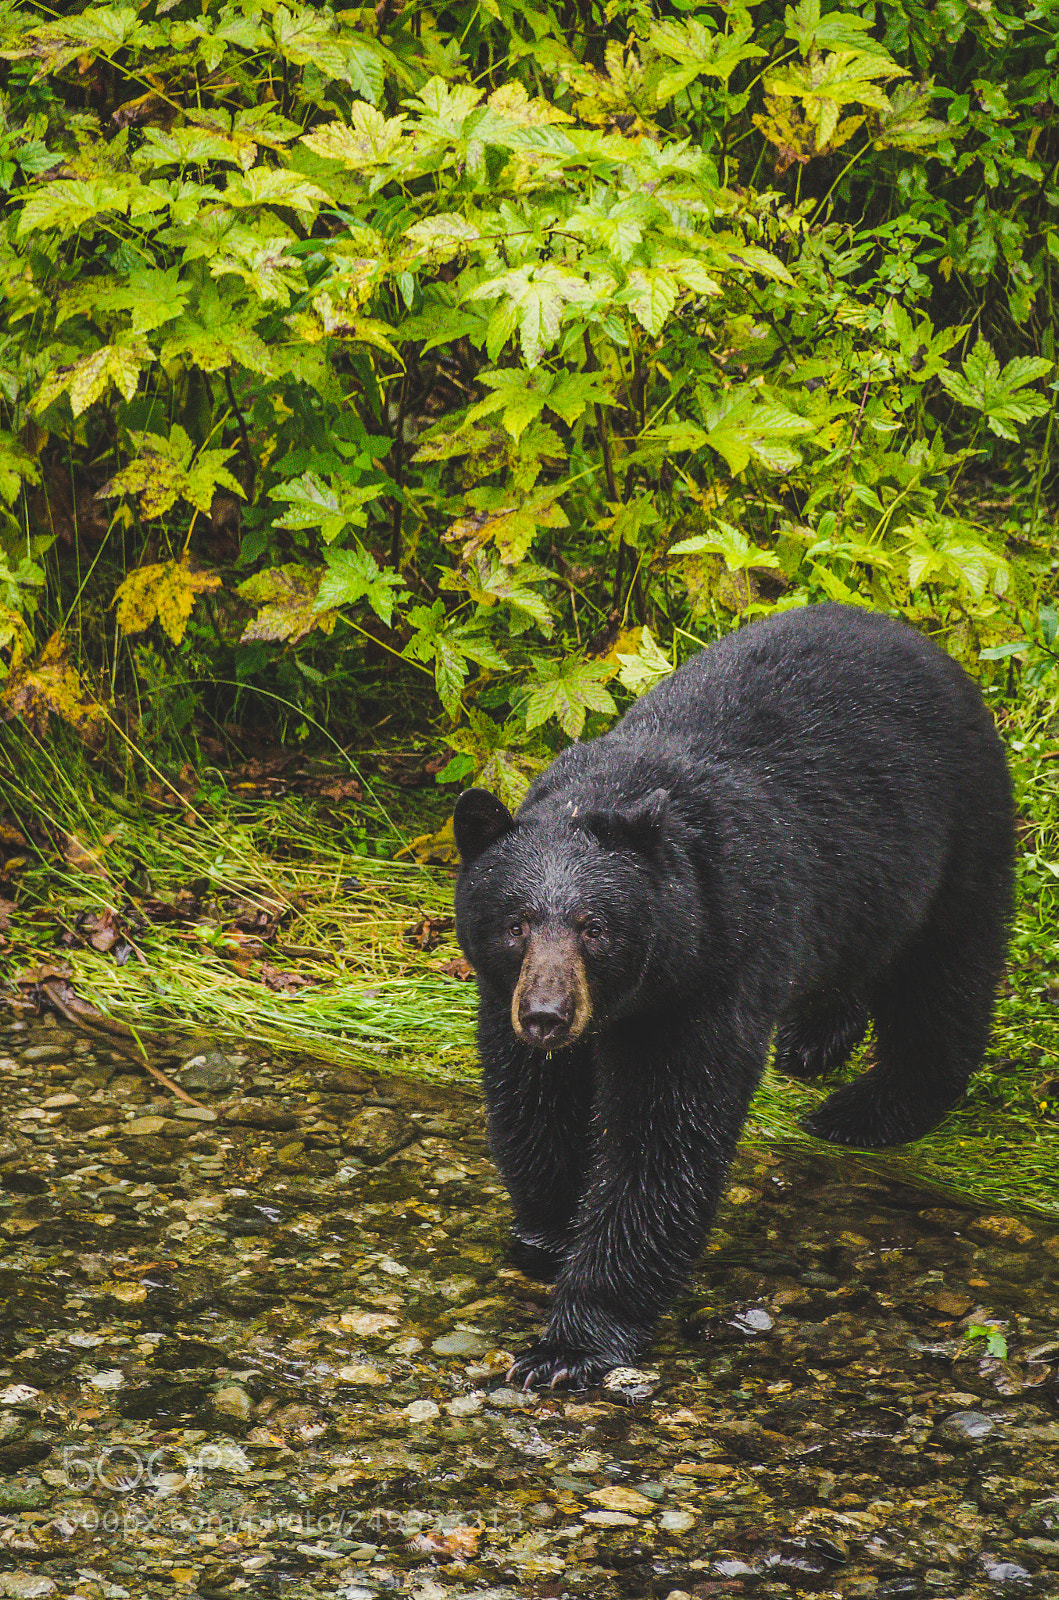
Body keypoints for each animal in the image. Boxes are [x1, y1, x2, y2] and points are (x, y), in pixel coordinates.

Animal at [452, 603, 1014, 1391]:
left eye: (596, 927)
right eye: (515, 923)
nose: (547, 1016)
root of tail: (907, 633)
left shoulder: (711, 974)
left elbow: (662, 1143)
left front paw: (570, 1343)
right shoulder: (509, 994)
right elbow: (535, 1104)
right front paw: (546, 1231)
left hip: (957, 834)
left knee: (943, 979)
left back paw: (867, 1111)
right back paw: (816, 1040)